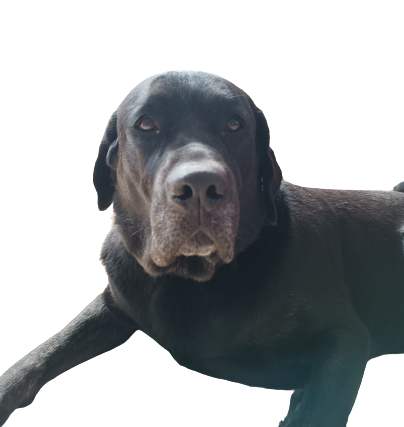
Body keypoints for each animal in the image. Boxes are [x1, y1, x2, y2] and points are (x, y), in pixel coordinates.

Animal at [1, 70, 403, 426]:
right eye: (146, 124)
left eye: (235, 124)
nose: (198, 186)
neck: (187, 278)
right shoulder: (113, 303)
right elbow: (41, 354)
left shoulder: (345, 336)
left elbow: (320, 411)